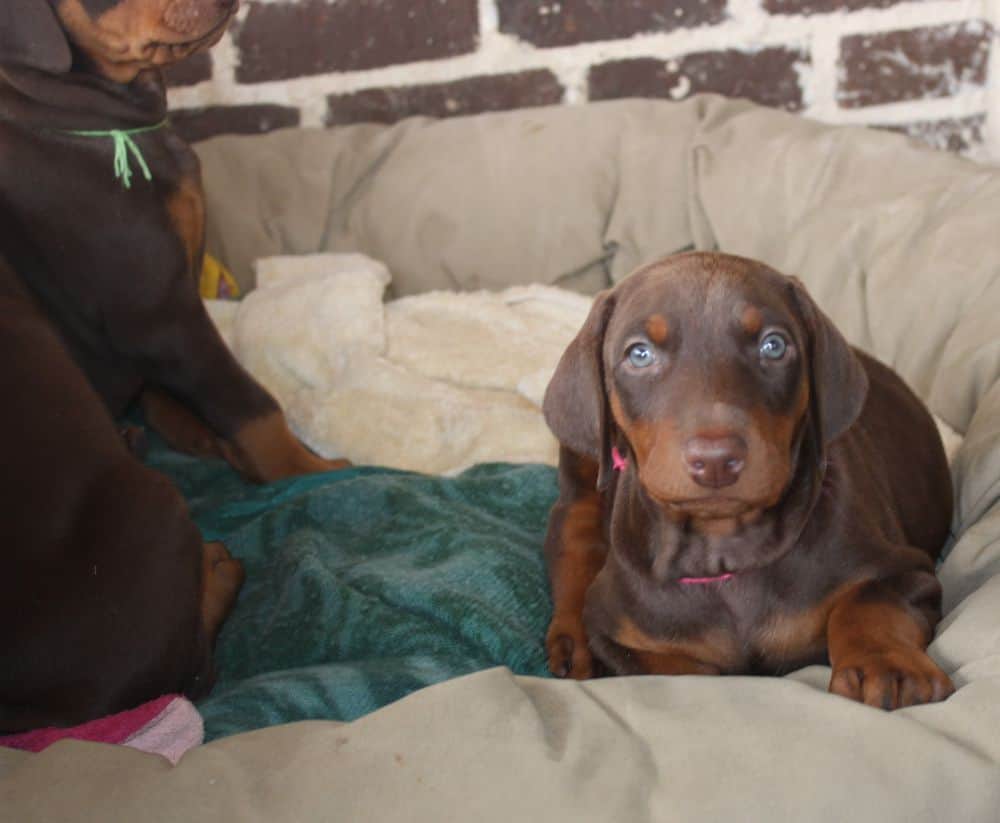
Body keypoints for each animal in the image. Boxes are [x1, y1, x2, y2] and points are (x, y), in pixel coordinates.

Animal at [0, 1, 344, 732]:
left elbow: (179, 396)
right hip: (152, 508)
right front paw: (310, 468)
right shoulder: (158, 311)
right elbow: (250, 402)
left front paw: (198, 435)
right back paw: (215, 567)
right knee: (186, 671)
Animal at [544, 251, 956, 708]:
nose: (716, 459)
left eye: (773, 345)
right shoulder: (619, 637)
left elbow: (868, 600)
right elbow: (684, 672)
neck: (724, 547)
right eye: (639, 354)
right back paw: (570, 641)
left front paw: (888, 665)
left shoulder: (908, 572)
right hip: (581, 482)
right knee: (575, 541)